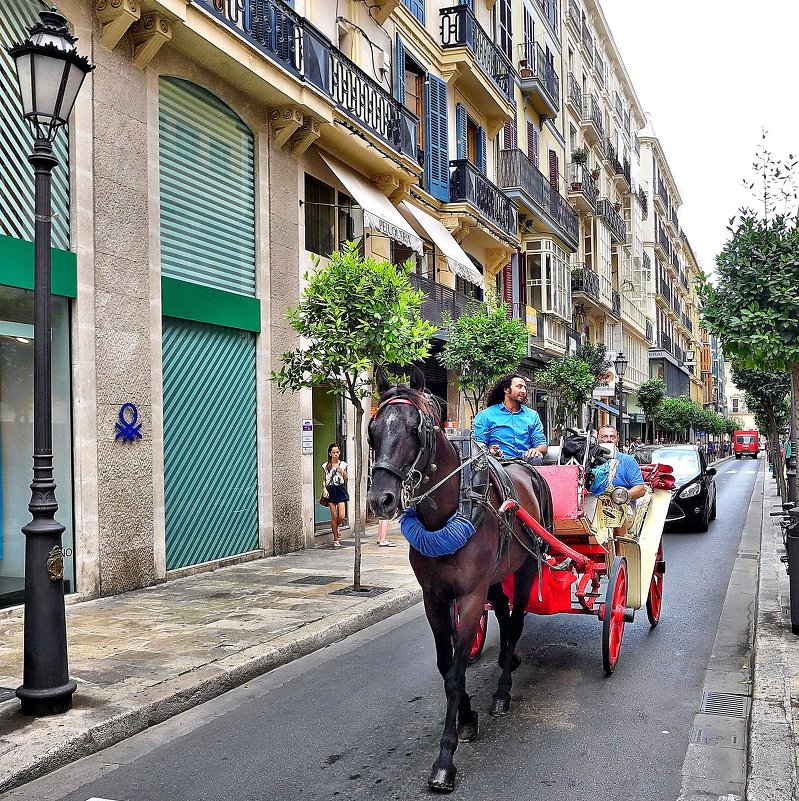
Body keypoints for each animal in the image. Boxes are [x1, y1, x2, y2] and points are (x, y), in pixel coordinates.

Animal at [368, 370, 552, 792]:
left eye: (417, 427)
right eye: (372, 429)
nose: (381, 500)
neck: (448, 510)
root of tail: (525, 468)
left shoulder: (468, 597)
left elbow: (454, 674)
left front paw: (445, 760)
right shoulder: (434, 598)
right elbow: (445, 663)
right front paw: (466, 716)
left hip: (525, 567)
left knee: (517, 620)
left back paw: (503, 691)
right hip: (496, 576)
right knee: (504, 614)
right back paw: (506, 660)